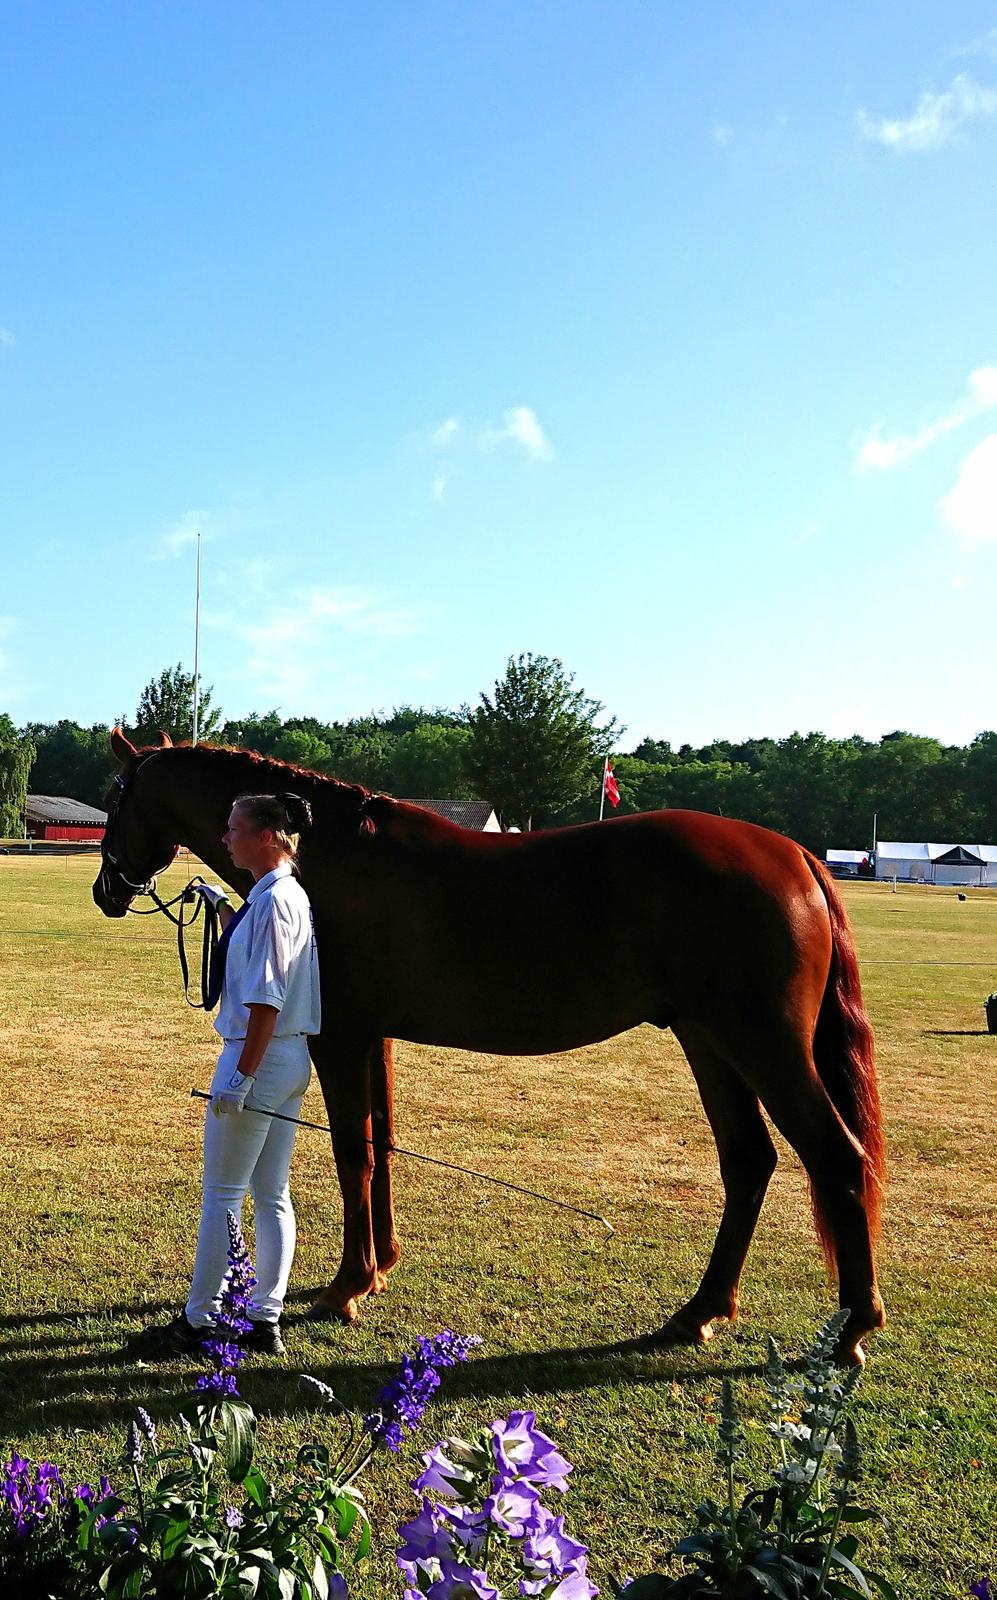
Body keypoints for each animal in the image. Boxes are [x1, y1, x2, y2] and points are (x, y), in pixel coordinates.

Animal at [93, 732, 883, 1356]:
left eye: (115, 796)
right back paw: (701, 1312)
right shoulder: (374, 1038)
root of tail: (795, 856)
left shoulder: (340, 1038)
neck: (331, 858)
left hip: (763, 1047)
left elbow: (353, 1153)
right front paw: (380, 1266)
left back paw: (853, 1327)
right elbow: (382, 1143)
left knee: (837, 1158)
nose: (106, 889)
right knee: (749, 1161)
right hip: (710, 1043)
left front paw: (348, 1285)